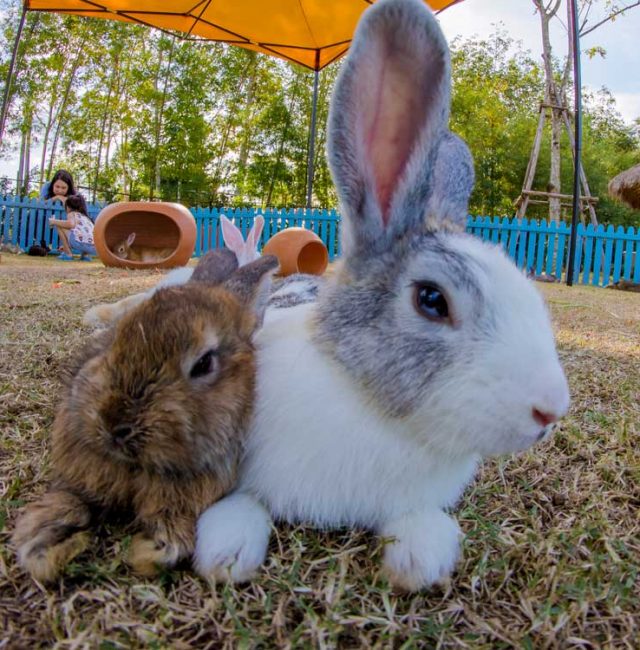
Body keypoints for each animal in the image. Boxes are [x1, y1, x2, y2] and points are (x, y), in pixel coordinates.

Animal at [12, 247, 278, 576]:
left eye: (204, 363)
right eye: (119, 336)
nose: (113, 425)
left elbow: (171, 535)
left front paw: (147, 551)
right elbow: (70, 500)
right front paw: (43, 543)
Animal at [194, 0, 568, 588]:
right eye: (431, 300)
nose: (550, 412)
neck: (371, 409)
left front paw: (420, 557)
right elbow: (244, 505)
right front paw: (226, 552)